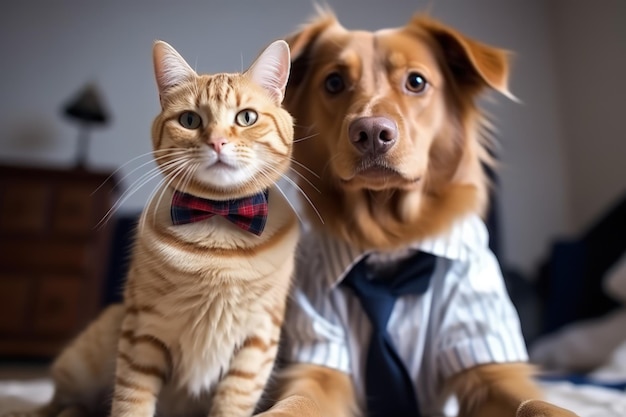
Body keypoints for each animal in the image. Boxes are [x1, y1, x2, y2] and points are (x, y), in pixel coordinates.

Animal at [4, 38, 298, 416]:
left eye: (246, 117)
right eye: (190, 120)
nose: (217, 142)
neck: (218, 219)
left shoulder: (256, 342)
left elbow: (232, 403)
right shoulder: (143, 330)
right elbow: (132, 399)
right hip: (87, 359)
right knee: (60, 404)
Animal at [256, 7, 576, 417]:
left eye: (417, 81)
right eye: (333, 82)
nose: (371, 133)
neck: (390, 241)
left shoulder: (486, 359)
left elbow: (536, 404)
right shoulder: (317, 360)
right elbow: (295, 404)